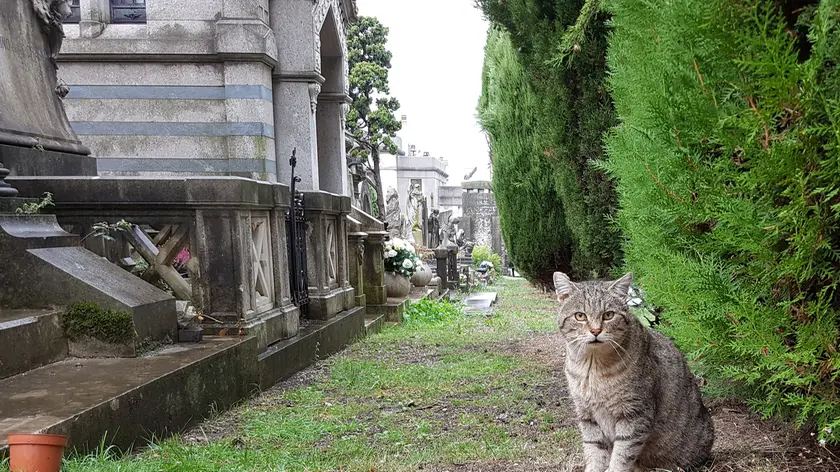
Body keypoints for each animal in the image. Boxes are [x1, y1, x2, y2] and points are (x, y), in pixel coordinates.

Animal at [556, 272, 712, 472]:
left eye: (608, 315)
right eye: (580, 316)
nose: (596, 330)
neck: (592, 368)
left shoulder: (635, 414)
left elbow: (622, 453)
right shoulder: (586, 415)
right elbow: (594, 450)